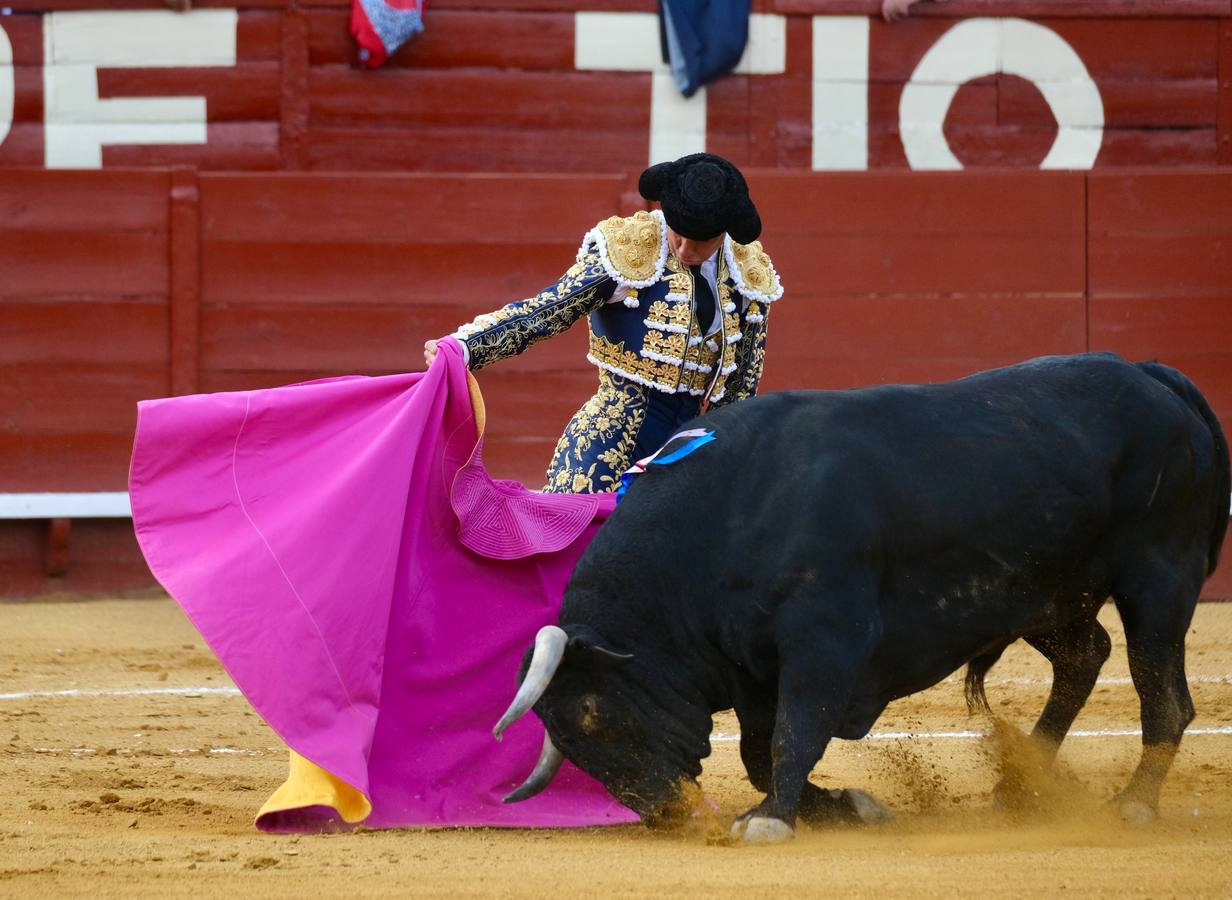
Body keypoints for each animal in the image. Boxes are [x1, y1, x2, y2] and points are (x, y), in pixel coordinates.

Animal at [492, 354, 1232, 847]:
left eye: (591, 712)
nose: (668, 815)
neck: (727, 518)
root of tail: (1152, 376)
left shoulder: (823, 645)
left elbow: (792, 735)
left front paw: (772, 820)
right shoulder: (753, 666)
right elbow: (760, 748)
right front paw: (846, 807)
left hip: (1158, 578)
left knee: (1162, 692)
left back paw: (1132, 805)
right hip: (1044, 596)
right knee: (1086, 656)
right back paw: (1016, 788)